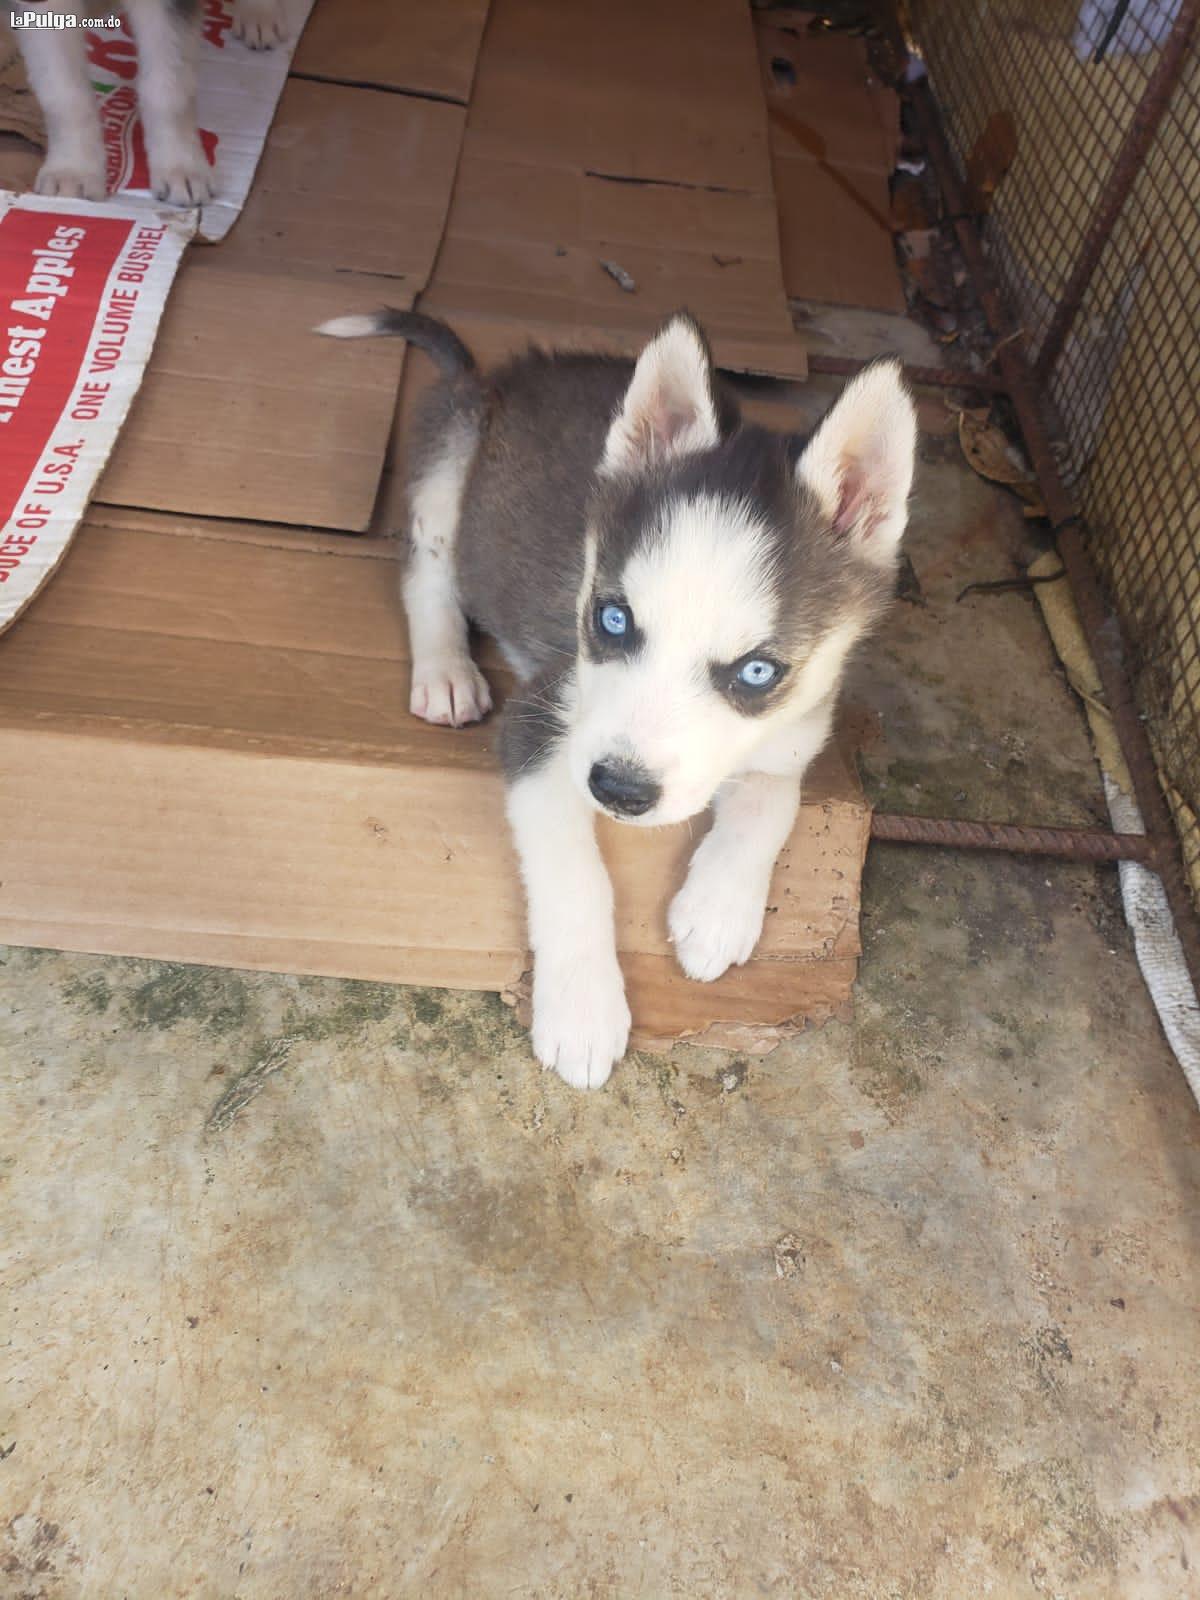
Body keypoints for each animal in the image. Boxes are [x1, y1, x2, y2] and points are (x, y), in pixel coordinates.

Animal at [320, 308, 921, 1088]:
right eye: (611, 618)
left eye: (758, 672)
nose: (619, 790)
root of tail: (496, 373)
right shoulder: (539, 722)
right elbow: (573, 873)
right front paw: (581, 1010)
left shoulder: (797, 730)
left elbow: (770, 802)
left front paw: (719, 909)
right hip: (451, 444)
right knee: (428, 566)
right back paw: (446, 669)